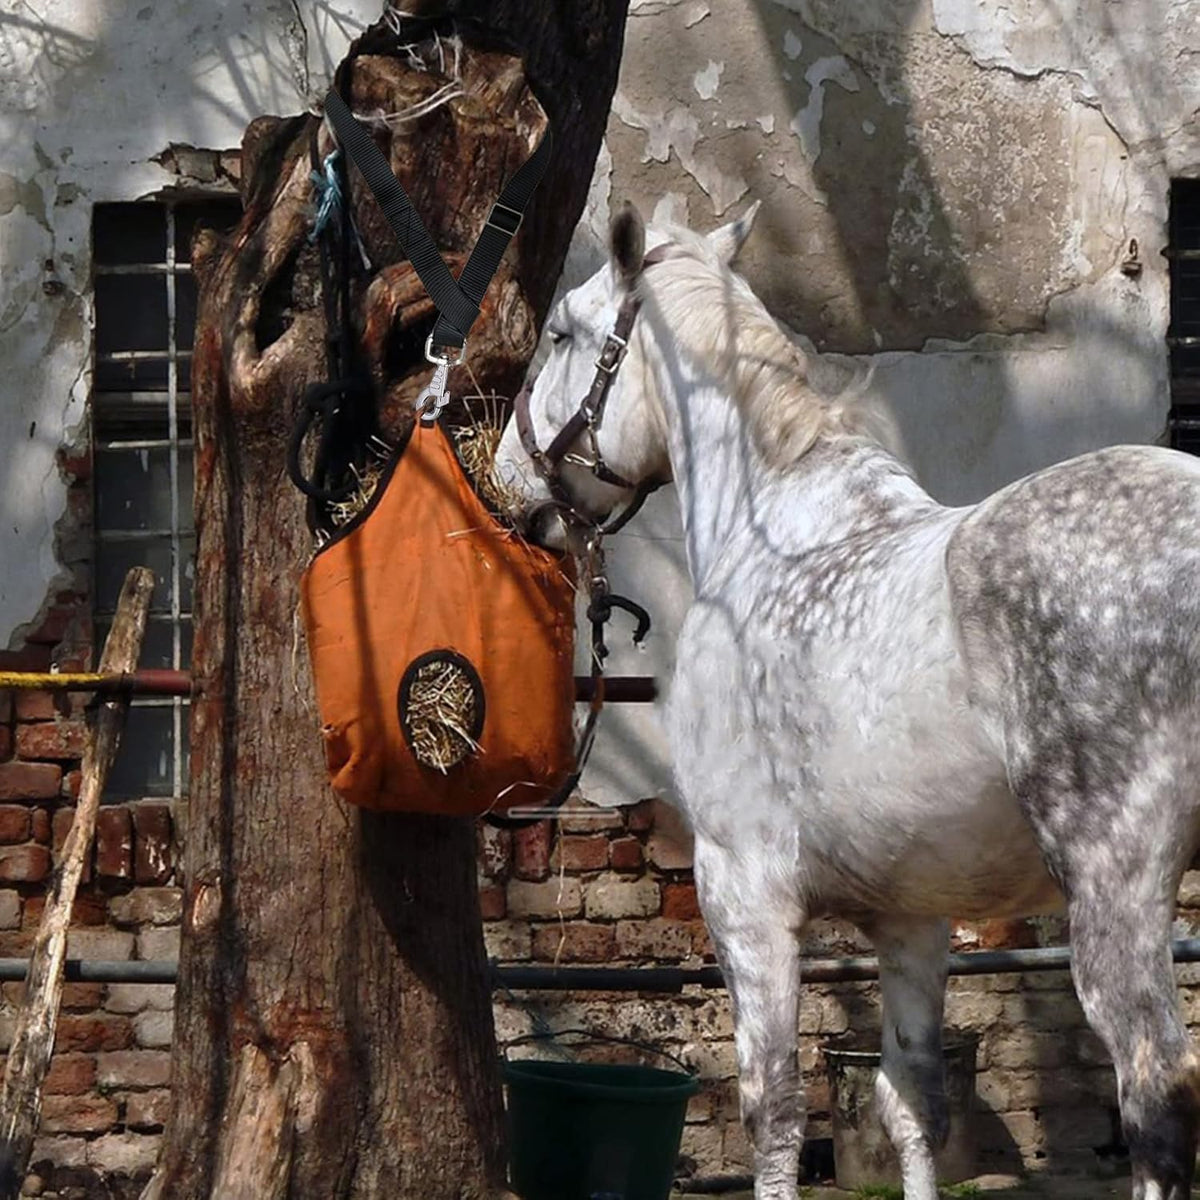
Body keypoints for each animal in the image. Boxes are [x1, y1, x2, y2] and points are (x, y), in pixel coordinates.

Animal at [491, 201, 1200, 1200]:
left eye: (560, 332)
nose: (511, 486)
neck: (774, 531)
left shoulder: (743, 892)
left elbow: (776, 1113)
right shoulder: (912, 919)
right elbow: (914, 1111)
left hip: (1115, 888)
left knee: (1156, 1105)